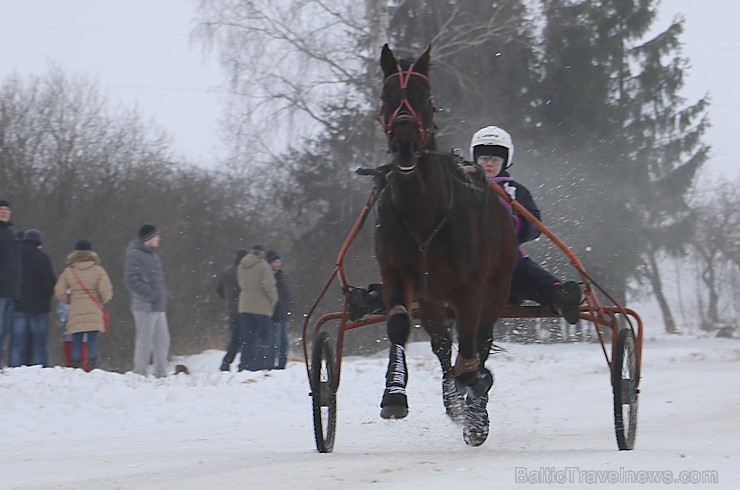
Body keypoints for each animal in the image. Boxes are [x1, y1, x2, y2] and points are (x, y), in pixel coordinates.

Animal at [376, 44, 516, 446]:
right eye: (386, 95)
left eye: (425, 95)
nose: (405, 145)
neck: (423, 211)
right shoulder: (397, 274)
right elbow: (399, 326)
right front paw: (394, 395)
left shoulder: (471, 286)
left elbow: (471, 356)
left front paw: (476, 408)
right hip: (432, 299)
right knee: (442, 347)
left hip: (496, 285)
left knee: (480, 340)